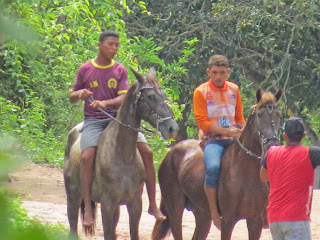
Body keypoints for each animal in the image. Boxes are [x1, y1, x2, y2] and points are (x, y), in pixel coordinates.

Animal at [63, 68, 179, 240]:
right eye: (150, 96)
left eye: (163, 95)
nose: (172, 128)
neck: (123, 154)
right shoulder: (107, 204)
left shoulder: (135, 203)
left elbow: (133, 233)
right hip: (73, 196)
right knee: (73, 224)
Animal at [151, 88, 282, 240]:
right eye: (259, 115)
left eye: (278, 116)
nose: (272, 144)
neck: (246, 172)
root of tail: (170, 153)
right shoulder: (227, 220)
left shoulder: (255, 220)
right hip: (175, 210)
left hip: (203, 215)